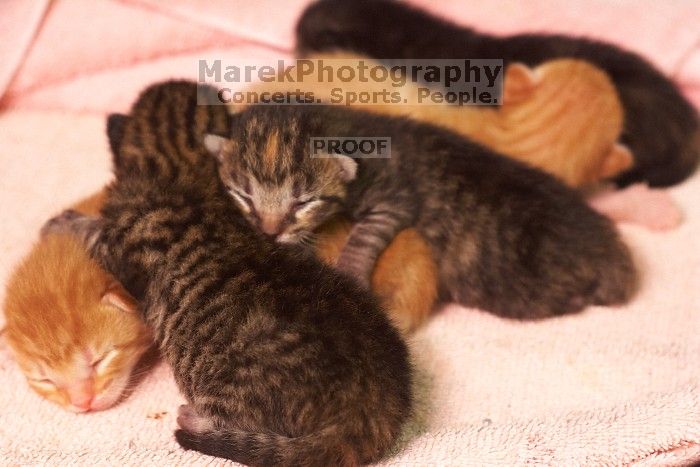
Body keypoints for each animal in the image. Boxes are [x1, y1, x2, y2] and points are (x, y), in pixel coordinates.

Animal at [43, 82, 412, 466]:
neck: (180, 165)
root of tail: (373, 408)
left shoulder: (120, 247)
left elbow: (93, 233)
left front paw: (61, 222)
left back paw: (194, 418)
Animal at [205, 104, 636, 320]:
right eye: (243, 195)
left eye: (303, 202)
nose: (270, 231)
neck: (338, 125)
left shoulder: (395, 198)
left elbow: (365, 236)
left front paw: (349, 273)